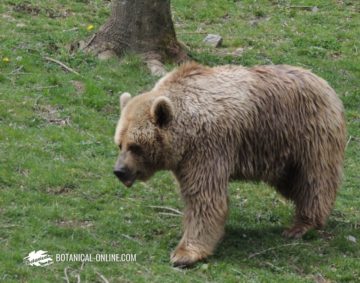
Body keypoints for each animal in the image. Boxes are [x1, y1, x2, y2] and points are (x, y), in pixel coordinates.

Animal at [112, 62, 346, 268]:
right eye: (120, 143)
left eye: (135, 146)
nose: (119, 170)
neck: (185, 134)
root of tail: (325, 84)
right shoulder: (185, 160)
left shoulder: (207, 148)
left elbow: (204, 198)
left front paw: (185, 254)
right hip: (281, 156)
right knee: (294, 183)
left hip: (309, 135)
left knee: (314, 180)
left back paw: (302, 225)